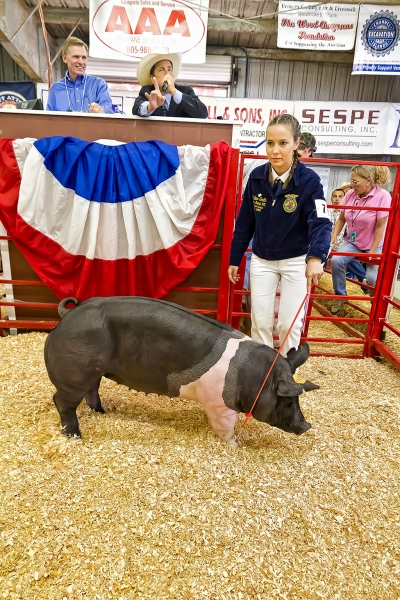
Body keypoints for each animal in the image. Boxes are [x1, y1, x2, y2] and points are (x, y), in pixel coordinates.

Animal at [43, 296, 318, 442]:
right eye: (288, 400)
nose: (306, 426)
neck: (256, 378)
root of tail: (65, 316)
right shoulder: (218, 404)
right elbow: (225, 428)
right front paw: (234, 444)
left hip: (92, 372)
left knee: (92, 392)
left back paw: (102, 412)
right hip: (73, 374)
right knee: (62, 401)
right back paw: (75, 435)